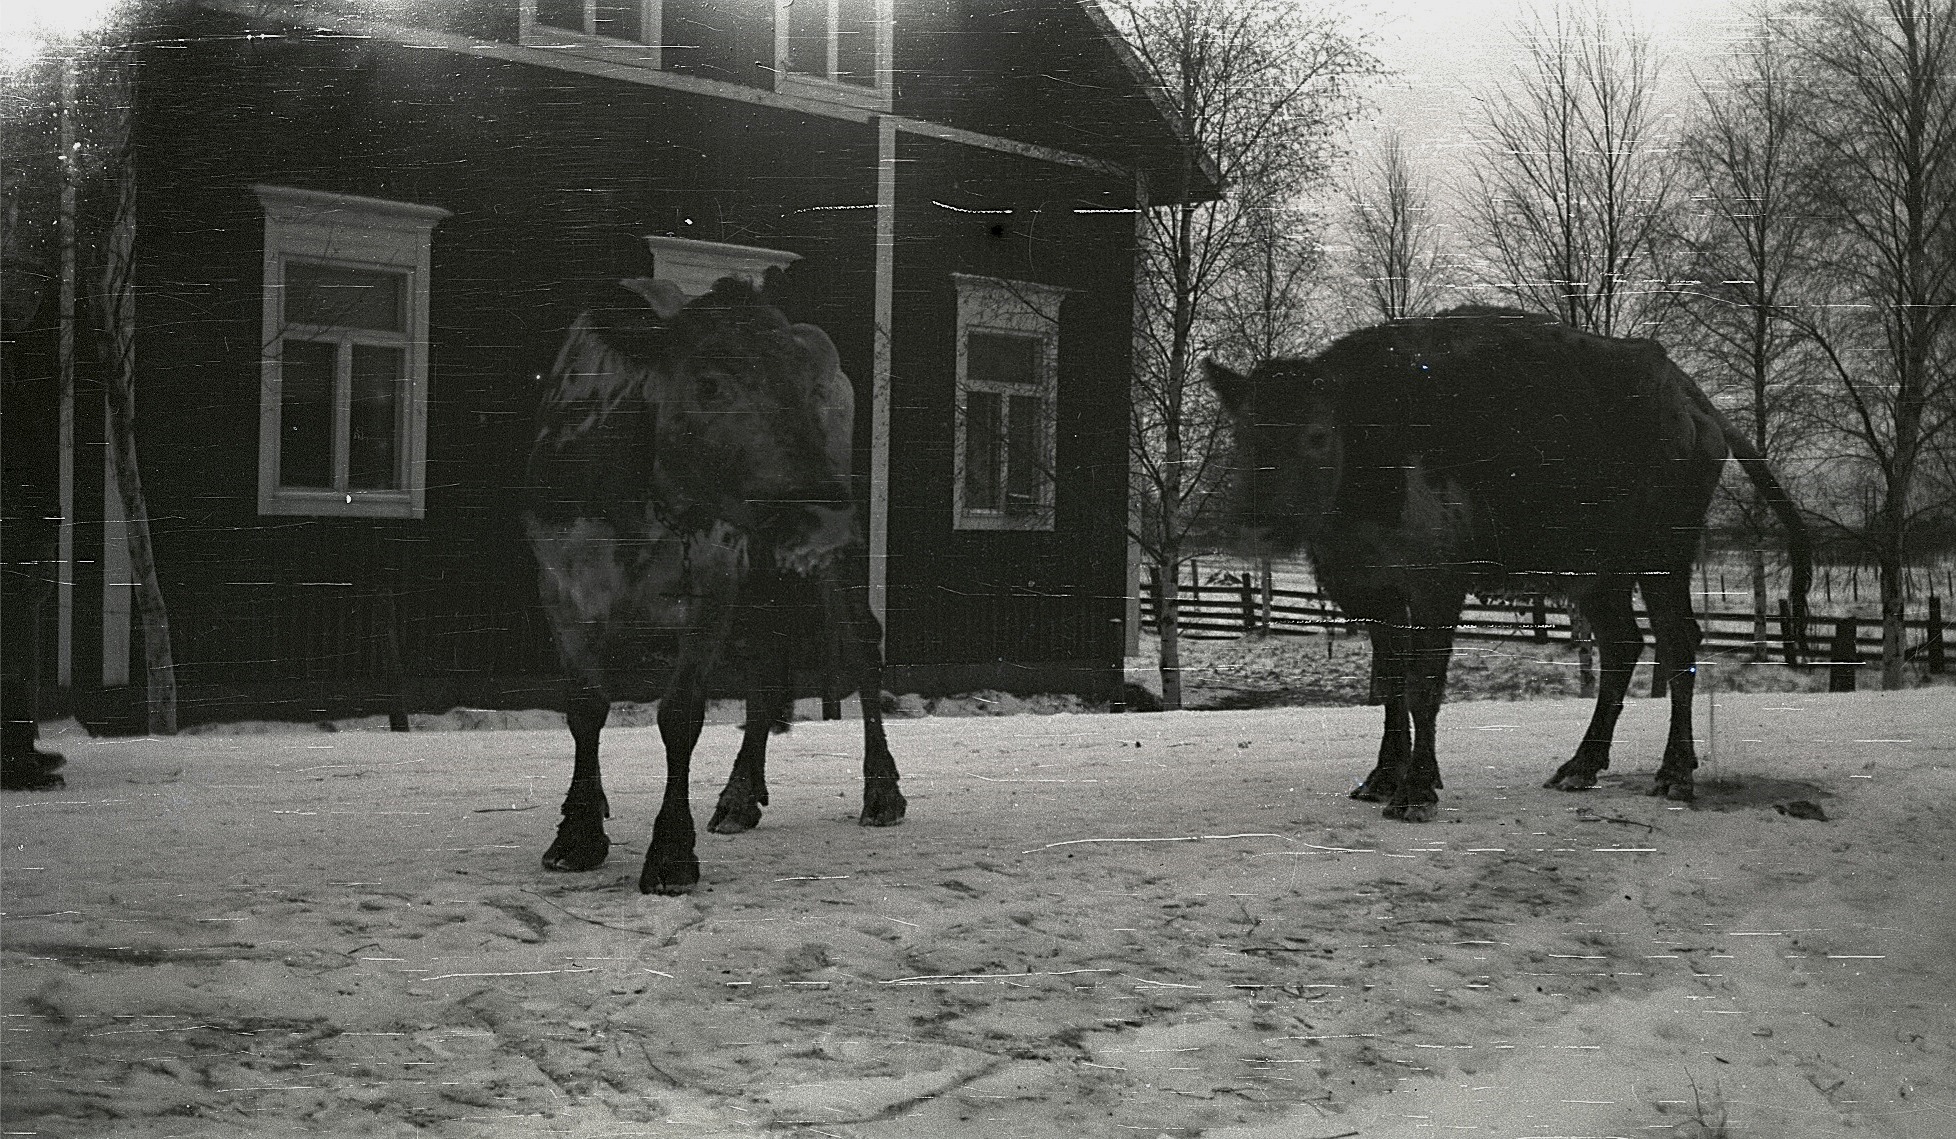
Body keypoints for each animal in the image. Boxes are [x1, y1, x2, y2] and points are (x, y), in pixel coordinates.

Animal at [528, 279, 907, 900]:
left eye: (806, 386)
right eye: (708, 382)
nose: (825, 512)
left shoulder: (711, 580)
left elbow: (680, 715)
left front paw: (670, 855)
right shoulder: (561, 586)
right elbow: (586, 708)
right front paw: (577, 834)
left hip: (823, 556)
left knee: (860, 642)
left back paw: (881, 790)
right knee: (766, 664)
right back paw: (739, 796)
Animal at [1204, 305, 1815, 821]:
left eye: (1316, 434)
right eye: (1243, 432)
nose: (1255, 518)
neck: (1371, 439)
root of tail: (1692, 400)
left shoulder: (1437, 586)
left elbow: (1423, 684)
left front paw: (1416, 791)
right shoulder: (1375, 593)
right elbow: (1390, 683)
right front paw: (1379, 779)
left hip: (1663, 556)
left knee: (1678, 641)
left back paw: (1674, 775)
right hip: (1597, 577)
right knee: (1623, 645)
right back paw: (1579, 767)